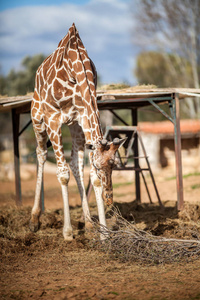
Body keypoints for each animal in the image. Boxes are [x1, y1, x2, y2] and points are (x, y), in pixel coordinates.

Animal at [29, 22, 125, 241]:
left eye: (114, 165)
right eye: (100, 166)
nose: (109, 199)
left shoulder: (82, 116)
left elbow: (87, 175)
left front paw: (103, 233)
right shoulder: (53, 119)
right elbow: (62, 174)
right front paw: (67, 233)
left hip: (73, 126)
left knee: (75, 163)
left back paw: (88, 223)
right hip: (37, 117)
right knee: (41, 153)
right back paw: (34, 220)